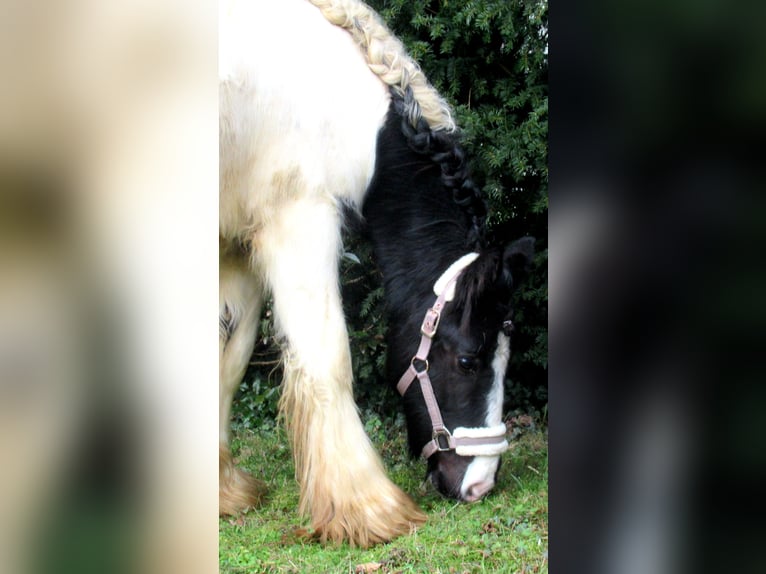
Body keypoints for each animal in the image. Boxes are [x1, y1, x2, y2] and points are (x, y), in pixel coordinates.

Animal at [218, 0, 536, 548]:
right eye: (468, 360)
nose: (480, 486)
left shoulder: (235, 246)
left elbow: (229, 363)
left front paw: (221, 491)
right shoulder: (298, 221)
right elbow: (327, 360)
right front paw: (366, 509)